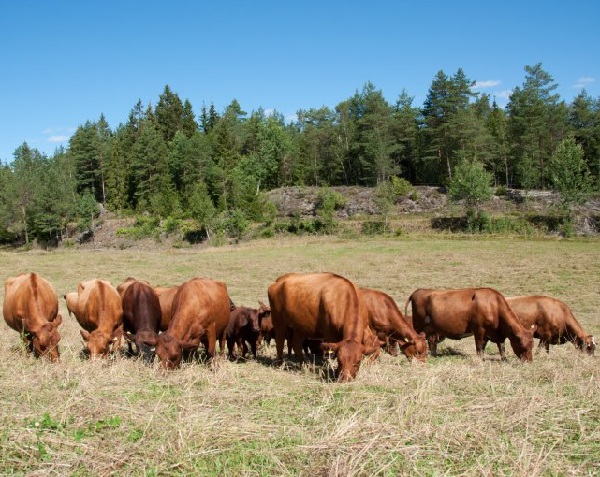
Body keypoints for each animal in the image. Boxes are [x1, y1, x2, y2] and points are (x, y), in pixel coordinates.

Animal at [406, 286, 536, 360]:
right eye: (523, 346)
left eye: (532, 345)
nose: (529, 361)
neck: (493, 305)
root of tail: (418, 291)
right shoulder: (479, 329)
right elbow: (479, 345)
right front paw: (480, 359)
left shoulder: (495, 333)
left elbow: (500, 346)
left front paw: (504, 359)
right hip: (419, 325)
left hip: (431, 329)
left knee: (432, 342)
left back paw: (434, 354)